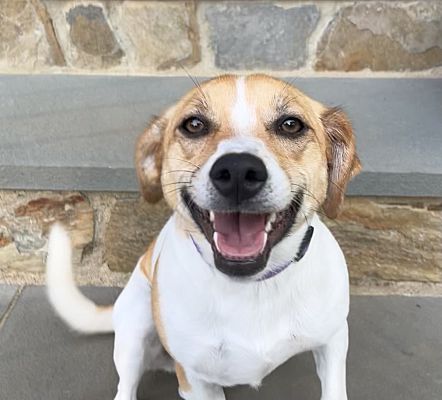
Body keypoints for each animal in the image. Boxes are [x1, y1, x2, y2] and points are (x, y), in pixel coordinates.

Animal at [46, 73, 360, 398]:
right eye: (194, 124)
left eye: (290, 124)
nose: (238, 171)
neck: (252, 288)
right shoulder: (195, 380)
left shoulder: (334, 340)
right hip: (136, 327)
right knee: (126, 385)